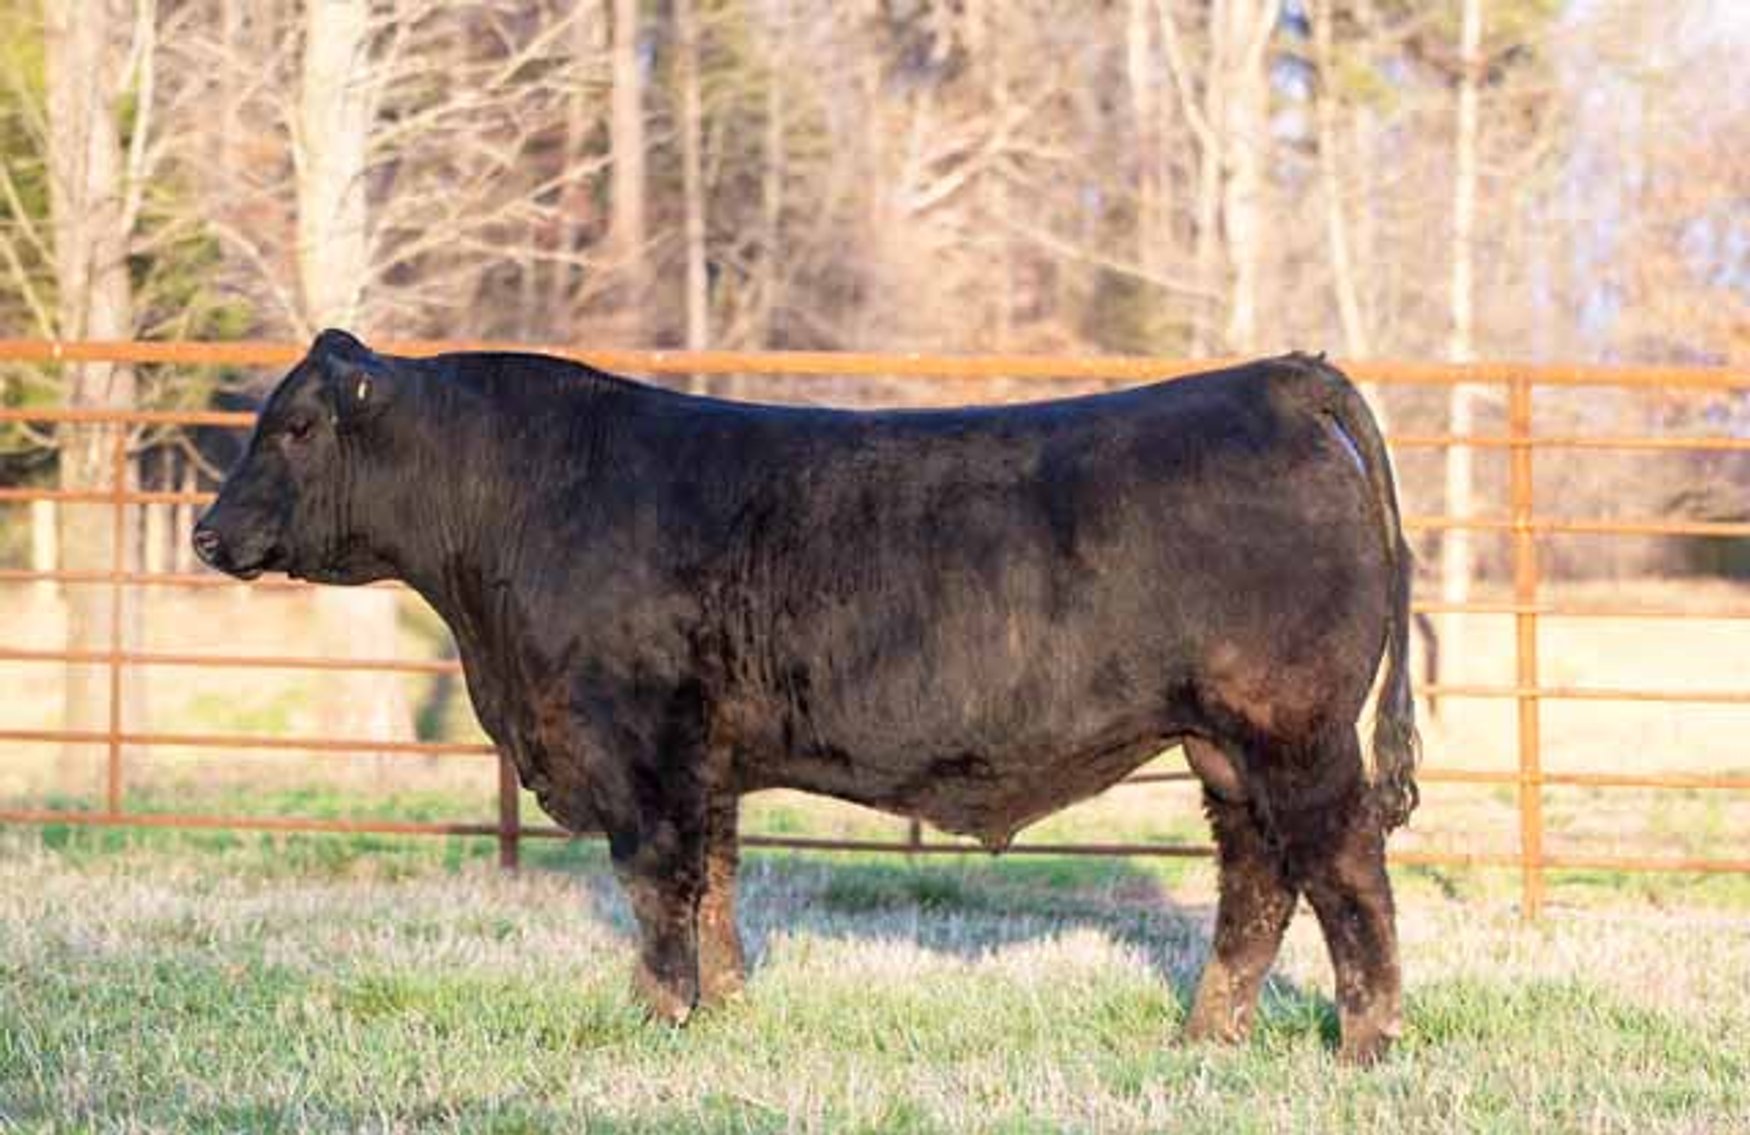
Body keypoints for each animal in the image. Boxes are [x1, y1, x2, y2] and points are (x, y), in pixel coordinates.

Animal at [193, 330, 1420, 1063]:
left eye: (294, 427)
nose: (205, 534)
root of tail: (1276, 377)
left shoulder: (640, 746)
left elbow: (657, 888)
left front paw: (657, 1015)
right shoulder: (706, 760)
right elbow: (716, 886)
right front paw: (725, 1009)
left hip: (1295, 731)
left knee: (1346, 872)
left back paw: (1362, 1044)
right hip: (1224, 745)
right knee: (1257, 880)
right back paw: (1206, 1036)